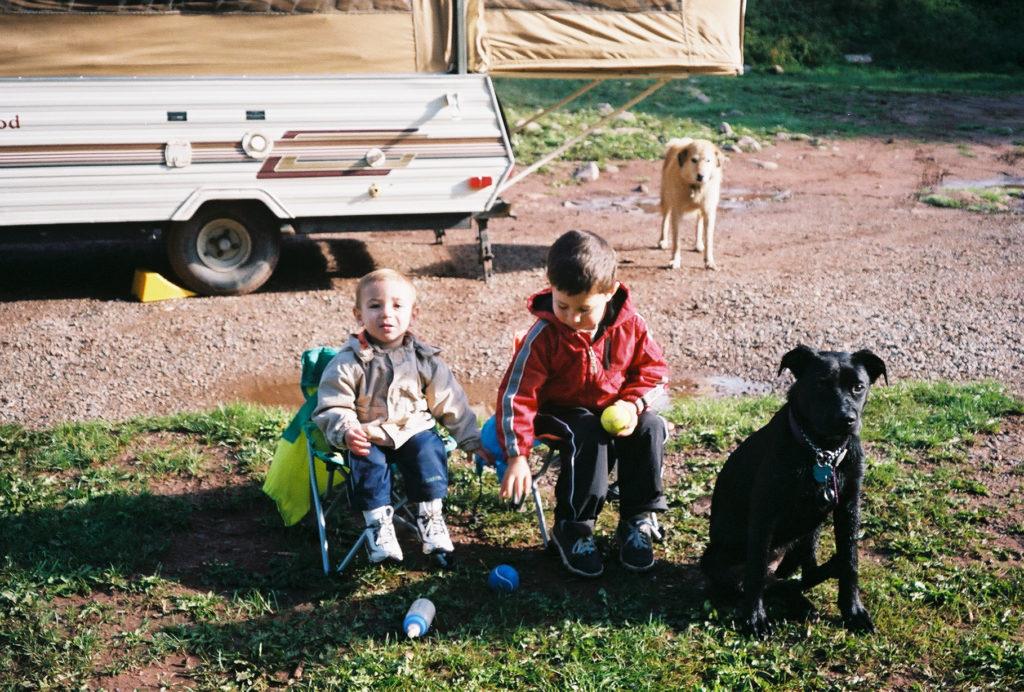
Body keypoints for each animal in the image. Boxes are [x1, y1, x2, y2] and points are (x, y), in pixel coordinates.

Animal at [659, 138, 724, 270]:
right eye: (694, 160)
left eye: (708, 160)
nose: (701, 176)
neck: (695, 187)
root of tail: (681, 142)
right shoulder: (676, 212)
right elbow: (676, 241)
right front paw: (675, 261)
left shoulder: (709, 212)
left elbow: (708, 239)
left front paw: (709, 262)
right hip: (666, 200)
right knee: (665, 219)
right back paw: (663, 241)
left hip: (701, 211)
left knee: (699, 223)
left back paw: (698, 244)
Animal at [700, 346, 884, 638]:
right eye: (821, 384)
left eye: (858, 387)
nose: (847, 419)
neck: (822, 451)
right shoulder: (764, 513)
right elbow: (755, 572)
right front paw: (755, 619)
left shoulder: (848, 505)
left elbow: (851, 561)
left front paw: (853, 611)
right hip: (715, 559)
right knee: (767, 580)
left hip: (809, 534)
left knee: (799, 576)